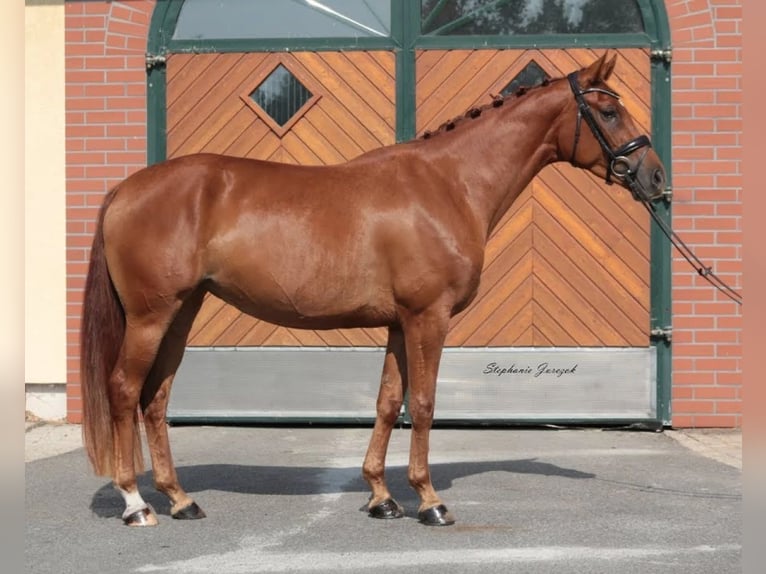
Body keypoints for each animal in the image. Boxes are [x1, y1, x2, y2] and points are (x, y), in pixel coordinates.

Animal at [79, 51, 664, 528]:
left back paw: (181, 500)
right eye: (608, 112)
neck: (448, 183)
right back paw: (136, 504)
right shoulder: (429, 317)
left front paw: (382, 497)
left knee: (155, 397)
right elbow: (423, 403)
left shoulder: (399, 322)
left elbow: (388, 402)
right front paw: (429, 501)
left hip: (181, 311)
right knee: (125, 390)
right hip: (151, 316)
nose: (655, 178)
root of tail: (125, 189)